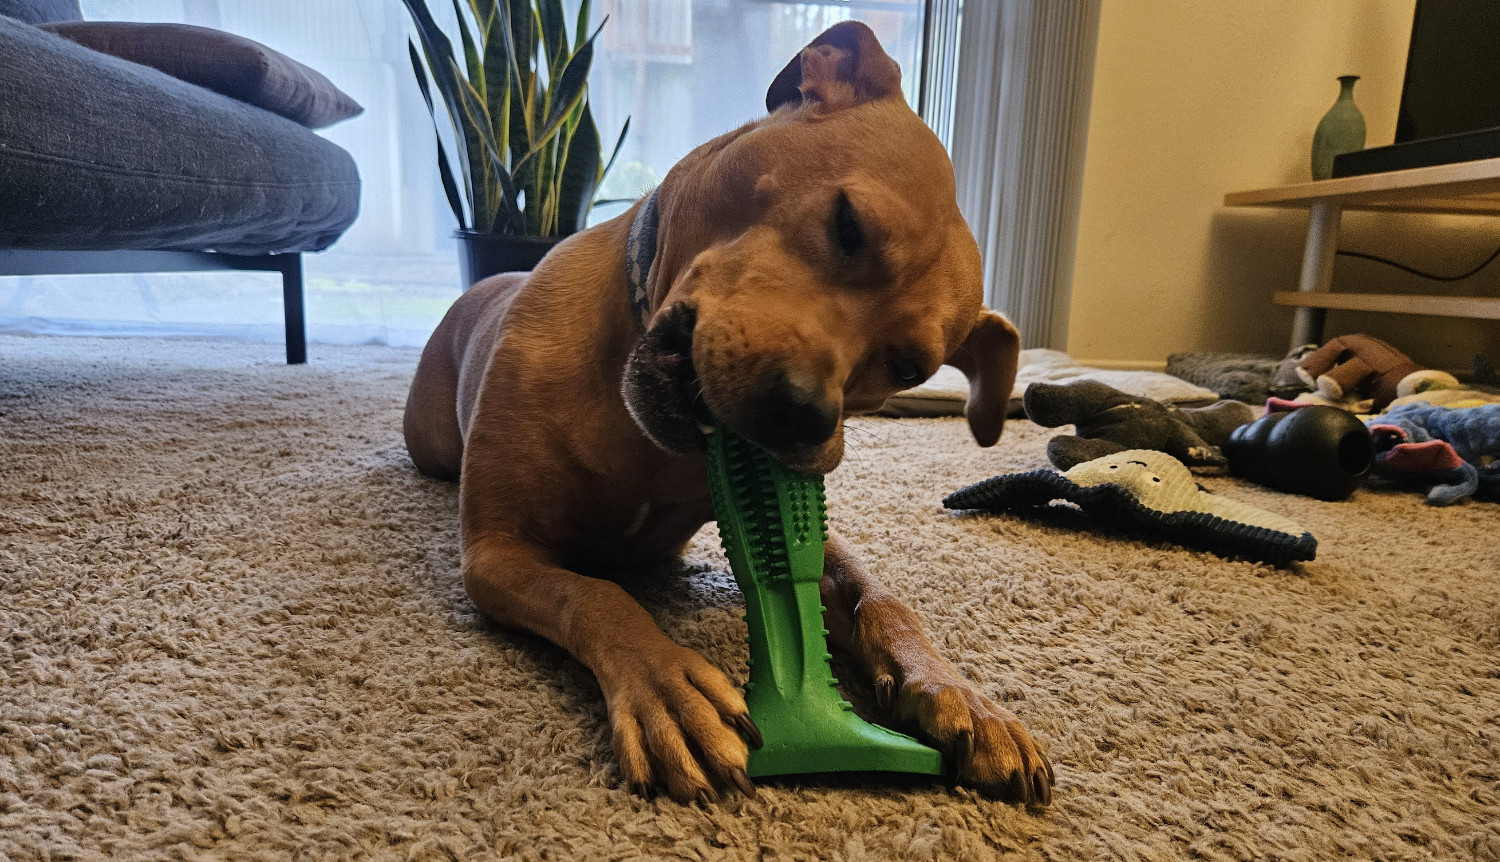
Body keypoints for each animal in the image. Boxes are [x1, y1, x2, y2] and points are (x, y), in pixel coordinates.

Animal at [405, 21, 1050, 809]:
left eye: (907, 368)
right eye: (849, 225)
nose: (804, 417)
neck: (638, 431)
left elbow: (882, 599)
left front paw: (961, 694)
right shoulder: (498, 551)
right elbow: (594, 595)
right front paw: (666, 684)